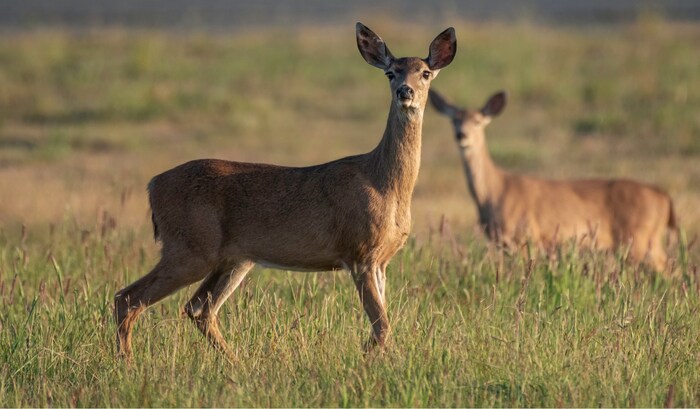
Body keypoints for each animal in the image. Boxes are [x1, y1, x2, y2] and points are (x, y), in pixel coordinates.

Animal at [115, 23, 460, 360]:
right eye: (391, 72)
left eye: (424, 73)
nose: (405, 91)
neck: (384, 183)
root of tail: (153, 184)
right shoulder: (359, 252)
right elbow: (382, 326)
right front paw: (363, 360)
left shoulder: (382, 260)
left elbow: (383, 325)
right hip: (189, 247)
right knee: (129, 297)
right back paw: (127, 363)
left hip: (233, 258)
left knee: (198, 308)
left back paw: (236, 365)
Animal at [430, 89, 676, 270]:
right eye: (454, 119)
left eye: (479, 121)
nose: (462, 135)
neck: (495, 192)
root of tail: (663, 195)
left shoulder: (525, 237)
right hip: (650, 240)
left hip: (638, 238)